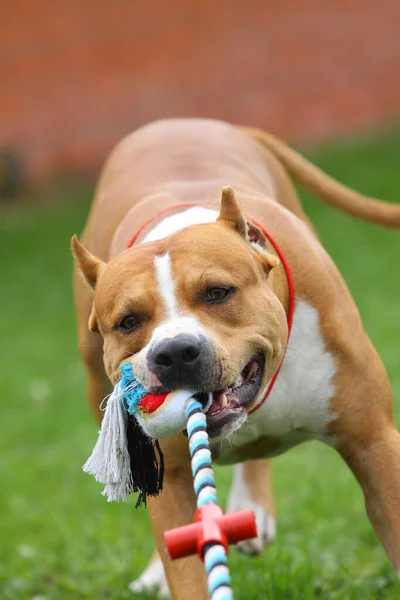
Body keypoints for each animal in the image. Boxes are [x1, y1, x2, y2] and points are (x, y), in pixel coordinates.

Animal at [72, 119, 400, 596]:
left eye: (217, 292)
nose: (174, 353)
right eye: (129, 321)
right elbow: (187, 564)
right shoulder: (174, 478)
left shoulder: (373, 444)